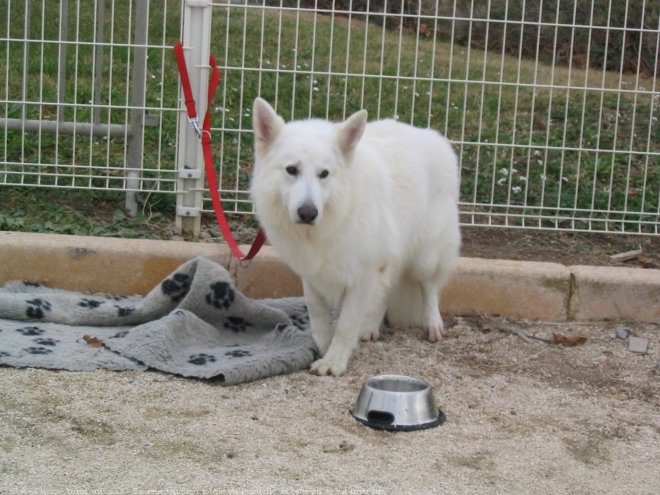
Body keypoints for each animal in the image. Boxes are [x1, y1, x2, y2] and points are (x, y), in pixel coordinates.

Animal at [250, 99, 462, 378]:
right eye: (291, 170)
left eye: (324, 174)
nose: (308, 213)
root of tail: (432, 136)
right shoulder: (312, 273)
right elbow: (318, 315)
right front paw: (324, 346)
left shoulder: (363, 275)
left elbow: (346, 324)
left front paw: (334, 361)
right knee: (385, 292)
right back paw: (370, 327)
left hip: (424, 257)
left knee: (428, 287)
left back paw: (432, 323)